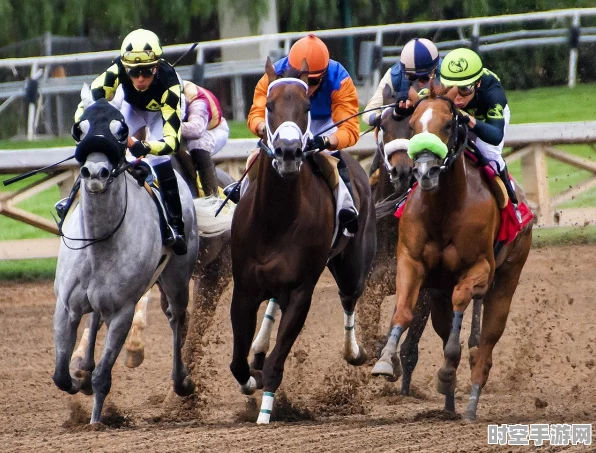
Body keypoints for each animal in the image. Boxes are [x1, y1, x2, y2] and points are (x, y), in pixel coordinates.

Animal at [52, 99, 200, 424]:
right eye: (80, 128)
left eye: (121, 132)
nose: (95, 172)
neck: (99, 243)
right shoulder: (66, 306)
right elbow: (60, 375)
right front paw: (79, 380)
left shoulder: (123, 311)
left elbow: (103, 376)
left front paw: (96, 422)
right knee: (94, 319)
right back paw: (84, 366)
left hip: (177, 277)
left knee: (177, 317)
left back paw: (181, 381)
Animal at [229, 58, 378, 422]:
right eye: (269, 105)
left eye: (307, 107)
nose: (288, 151)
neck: (275, 219)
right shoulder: (244, 289)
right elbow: (238, 363)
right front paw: (249, 379)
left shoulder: (301, 292)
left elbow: (275, 364)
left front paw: (265, 415)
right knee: (272, 305)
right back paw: (258, 347)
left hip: (352, 265)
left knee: (349, 297)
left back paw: (354, 351)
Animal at [372, 87, 532, 420]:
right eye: (413, 125)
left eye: (448, 124)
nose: (423, 171)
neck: (445, 207)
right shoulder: (411, 264)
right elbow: (402, 310)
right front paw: (384, 360)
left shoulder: (479, 268)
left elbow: (462, 307)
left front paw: (447, 370)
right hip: (438, 295)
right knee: (447, 329)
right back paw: (448, 406)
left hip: (506, 280)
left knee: (485, 345)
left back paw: (469, 404)